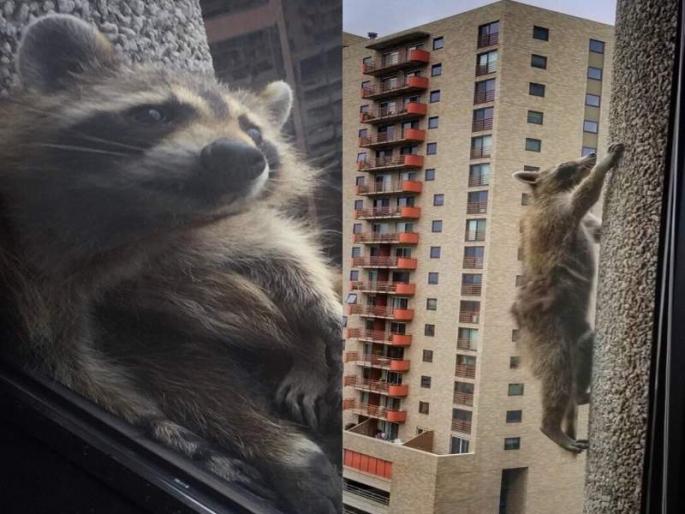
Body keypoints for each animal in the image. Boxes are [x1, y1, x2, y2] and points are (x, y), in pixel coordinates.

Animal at [0, 14, 341, 513]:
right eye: (155, 115)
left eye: (255, 131)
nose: (240, 157)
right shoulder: (31, 271)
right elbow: (70, 362)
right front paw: (165, 426)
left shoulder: (199, 229)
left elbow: (276, 242)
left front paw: (318, 311)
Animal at [511, 143, 624, 453]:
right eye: (565, 165)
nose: (590, 155)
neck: (545, 194)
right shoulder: (556, 215)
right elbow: (584, 198)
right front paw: (604, 166)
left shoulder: (576, 219)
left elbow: (595, 228)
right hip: (546, 335)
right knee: (557, 378)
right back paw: (551, 427)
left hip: (575, 331)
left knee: (586, 346)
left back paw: (581, 393)